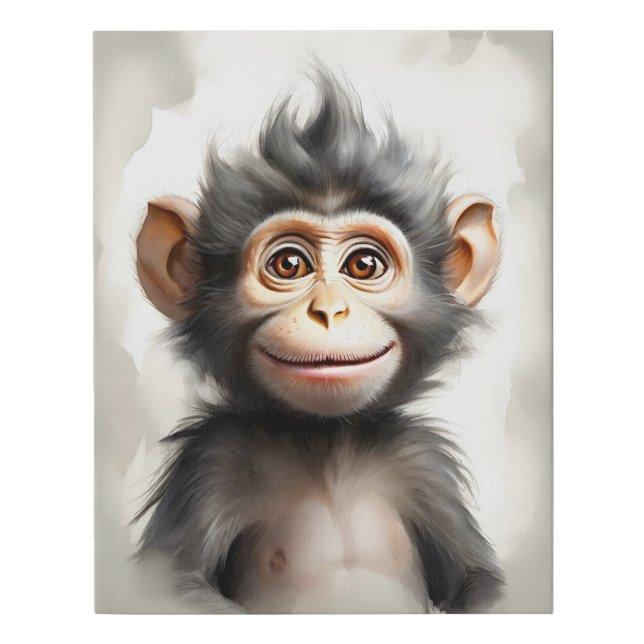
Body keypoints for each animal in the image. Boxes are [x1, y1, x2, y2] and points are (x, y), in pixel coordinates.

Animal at [133, 69, 503, 613]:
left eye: (363, 265)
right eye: (289, 264)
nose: (329, 311)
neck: (326, 441)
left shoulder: (422, 463)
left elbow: (481, 583)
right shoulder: (209, 465)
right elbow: (173, 587)